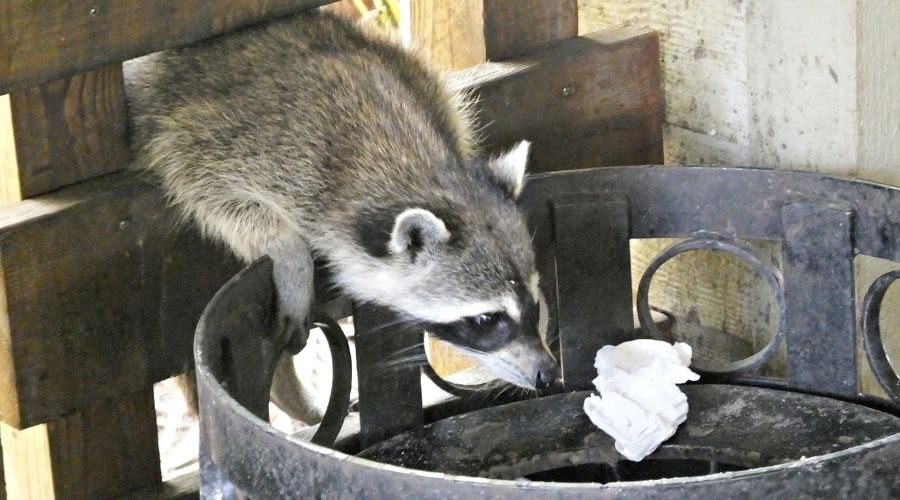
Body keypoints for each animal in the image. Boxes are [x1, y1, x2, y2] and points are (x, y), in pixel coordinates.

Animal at [125, 9, 564, 414]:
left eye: (534, 303)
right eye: (486, 320)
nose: (546, 373)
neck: (415, 172)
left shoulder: (426, 90)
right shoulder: (221, 142)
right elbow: (219, 197)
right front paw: (289, 252)